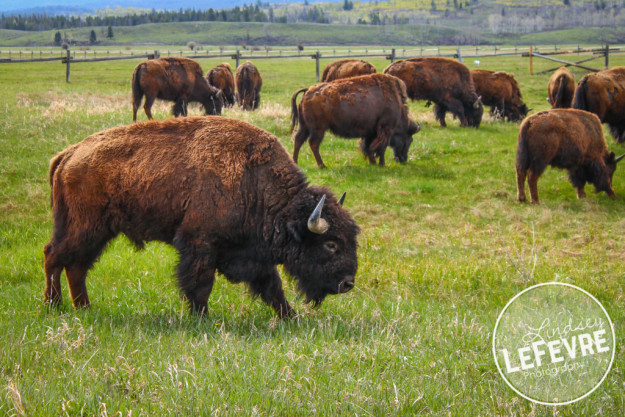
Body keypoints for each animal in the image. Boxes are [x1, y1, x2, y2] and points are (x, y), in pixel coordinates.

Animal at [41, 115, 358, 316]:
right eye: (331, 244)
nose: (348, 283)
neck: (254, 182)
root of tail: (69, 154)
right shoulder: (200, 243)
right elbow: (200, 283)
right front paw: (202, 317)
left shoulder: (252, 253)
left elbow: (272, 287)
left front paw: (291, 318)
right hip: (86, 227)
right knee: (55, 257)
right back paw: (53, 307)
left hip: (98, 232)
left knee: (76, 266)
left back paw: (84, 308)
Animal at [288, 73, 420, 167]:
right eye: (409, 140)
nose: (403, 159)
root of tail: (308, 90)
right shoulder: (386, 129)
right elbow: (380, 148)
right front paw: (381, 164)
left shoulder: (371, 132)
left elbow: (369, 146)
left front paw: (372, 162)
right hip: (318, 129)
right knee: (313, 144)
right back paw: (322, 165)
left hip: (305, 126)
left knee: (298, 140)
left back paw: (296, 162)